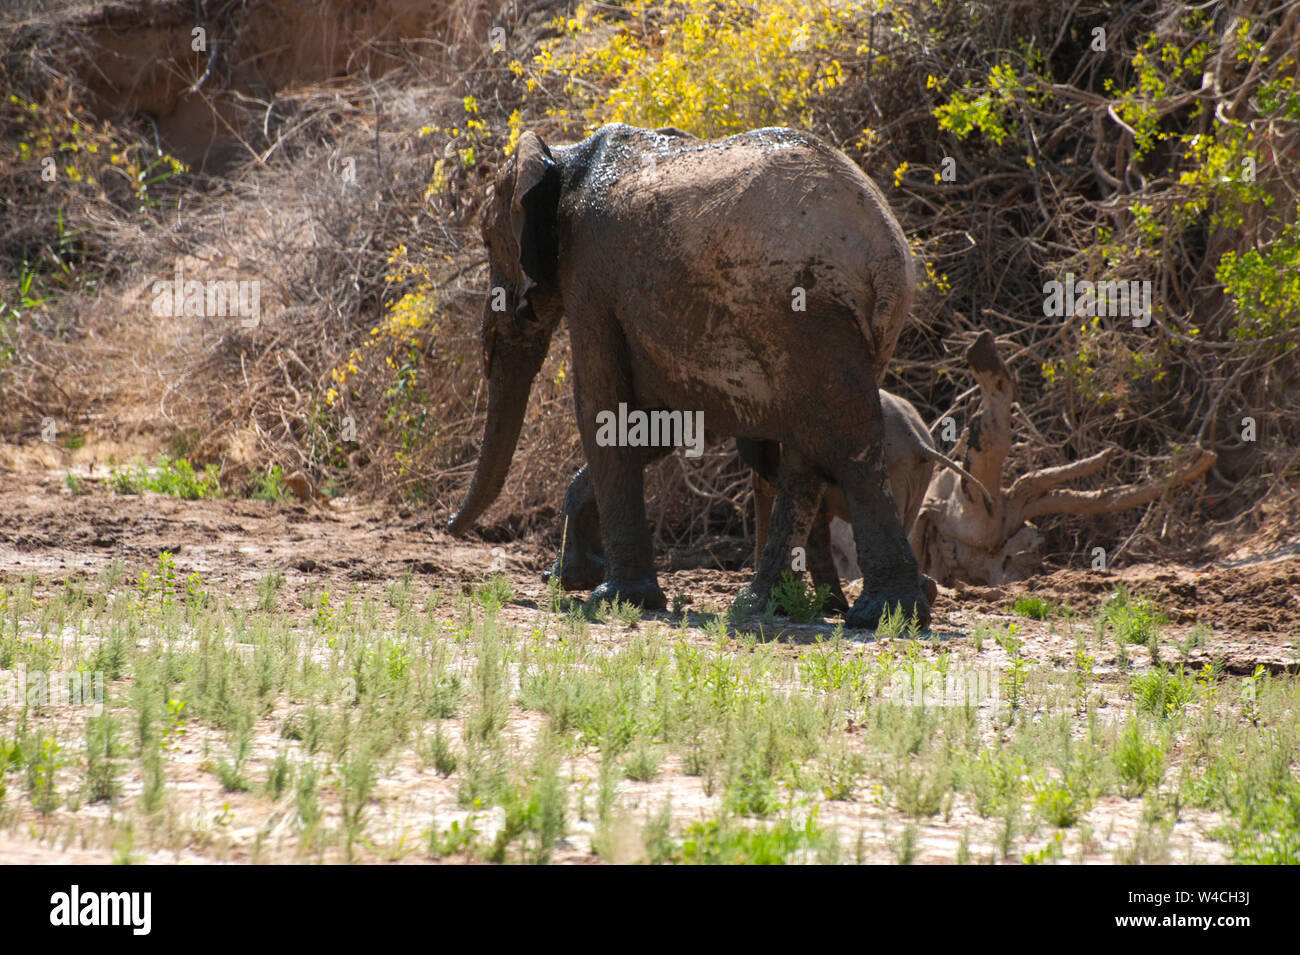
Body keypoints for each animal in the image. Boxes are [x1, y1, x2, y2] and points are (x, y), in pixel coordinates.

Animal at [447, 123, 925, 631]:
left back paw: (879, 614)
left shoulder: (590, 272)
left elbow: (601, 406)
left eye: (487, 240)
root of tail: (885, 255)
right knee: (809, 449)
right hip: (852, 327)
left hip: (806, 307)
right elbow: (657, 424)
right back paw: (765, 604)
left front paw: (614, 598)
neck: (564, 157)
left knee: (845, 441)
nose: (453, 527)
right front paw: (570, 578)